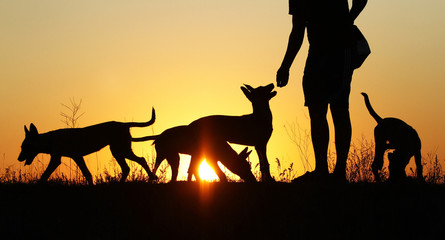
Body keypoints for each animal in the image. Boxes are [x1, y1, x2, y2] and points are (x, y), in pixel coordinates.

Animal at [18, 107, 158, 184]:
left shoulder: (56, 159)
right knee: (128, 167)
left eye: (25, 147)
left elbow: (45, 175)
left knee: (139, 161)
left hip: (120, 150)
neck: (50, 139)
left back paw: (151, 177)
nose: (19, 158)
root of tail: (124, 124)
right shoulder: (77, 157)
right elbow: (87, 174)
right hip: (118, 151)